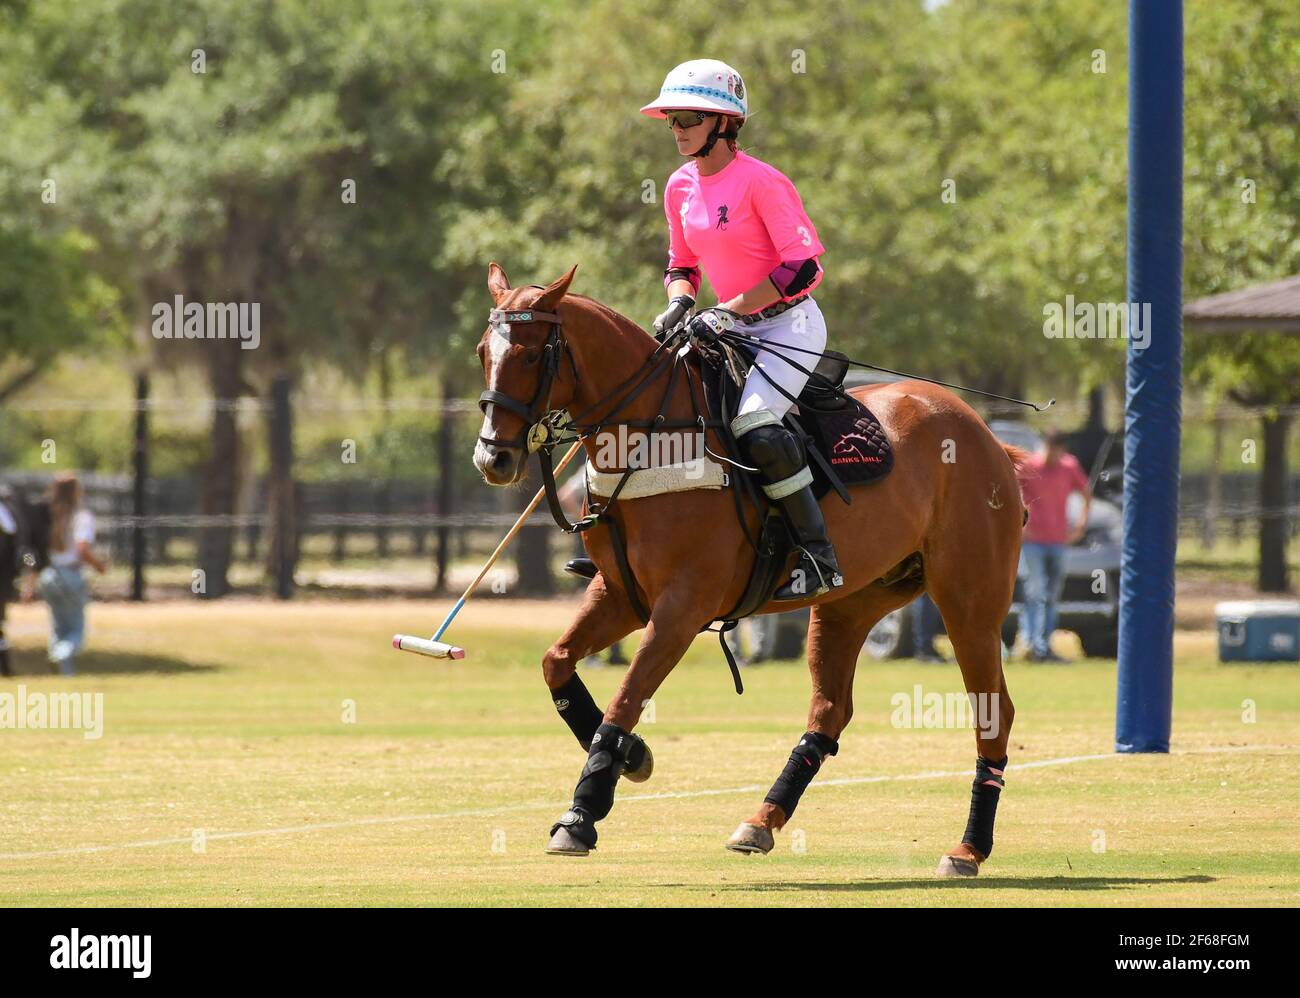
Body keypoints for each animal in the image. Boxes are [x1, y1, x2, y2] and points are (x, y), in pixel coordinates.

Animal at [473, 262, 1029, 873]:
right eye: (482, 352)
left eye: (531, 355)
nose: (493, 458)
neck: (652, 441)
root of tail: (988, 435)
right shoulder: (621, 594)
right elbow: (556, 663)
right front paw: (632, 757)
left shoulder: (682, 607)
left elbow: (627, 697)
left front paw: (582, 813)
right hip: (853, 601)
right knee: (830, 710)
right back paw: (760, 821)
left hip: (969, 602)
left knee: (993, 712)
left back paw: (968, 848)